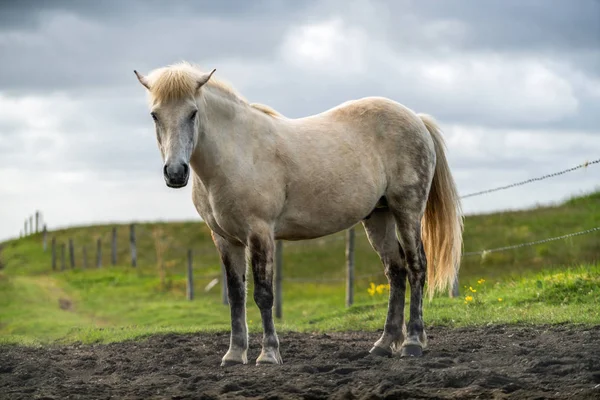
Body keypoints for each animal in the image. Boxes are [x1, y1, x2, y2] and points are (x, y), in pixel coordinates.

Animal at [135, 61, 464, 366]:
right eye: (155, 115)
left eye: (193, 113)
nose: (175, 172)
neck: (236, 154)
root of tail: (416, 119)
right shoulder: (225, 239)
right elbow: (236, 295)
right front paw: (235, 354)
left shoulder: (260, 233)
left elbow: (263, 294)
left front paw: (268, 355)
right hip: (378, 217)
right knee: (396, 272)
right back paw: (383, 345)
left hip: (407, 210)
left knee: (417, 267)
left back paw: (412, 343)